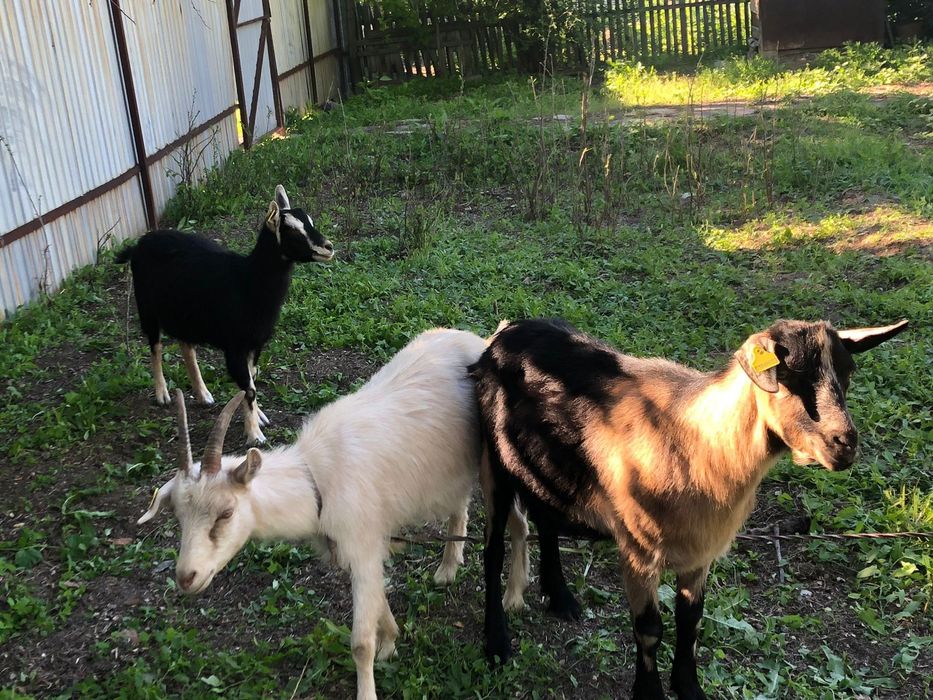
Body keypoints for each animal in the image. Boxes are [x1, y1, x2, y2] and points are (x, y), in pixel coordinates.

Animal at [116, 185, 334, 444]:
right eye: (291, 230)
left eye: (310, 221)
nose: (328, 247)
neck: (247, 281)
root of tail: (139, 244)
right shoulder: (235, 346)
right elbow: (249, 388)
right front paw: (255, 435)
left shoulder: (255, 345)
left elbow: (250, 380)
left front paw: (258, 416)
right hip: (146, 306)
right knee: (155, 346)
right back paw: (162, 394)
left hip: (185, 314)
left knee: (186, 346)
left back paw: (203, 394)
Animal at [137, 328, 530, 700]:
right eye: (179, 517)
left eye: (226, 512)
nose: (186, 577)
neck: (317, 479)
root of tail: (482, 341)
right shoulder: (359, 551)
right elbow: (380, 601)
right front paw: (391, 641)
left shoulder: (363, 544)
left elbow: (360, 643)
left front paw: (369, 685)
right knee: (459, 503)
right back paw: (447, 569)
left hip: (493, 462)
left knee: (518, 522)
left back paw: (513, 597)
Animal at [469, 317, 908, 700]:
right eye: (787, 377)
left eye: (847, 374)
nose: (844, 444)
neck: (699, 443)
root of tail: (507, 331)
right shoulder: (638, 549)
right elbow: (649, 629)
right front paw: (649, 693)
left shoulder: (701, 550)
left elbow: (690, 621)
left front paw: (689, 688)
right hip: (495, 465)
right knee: (492, 552)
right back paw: (497, 643)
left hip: (546, 467)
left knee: (546, 518)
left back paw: (560, 598)